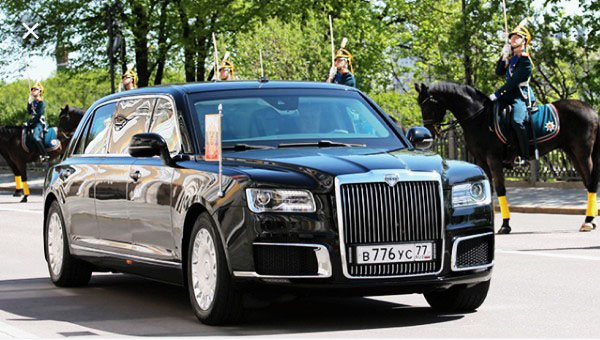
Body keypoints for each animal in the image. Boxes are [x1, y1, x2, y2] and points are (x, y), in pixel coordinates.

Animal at [414, 83, 600, 234]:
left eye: (428, 105)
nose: (429, 132)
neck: (479, 117)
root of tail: (591, 110)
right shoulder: (481, 161)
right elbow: (487, 189)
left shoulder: (493, 159)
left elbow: (500, 189)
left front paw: (505, 225)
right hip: (573, 154)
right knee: (588, 182)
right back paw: (590, 220)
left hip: (582, 153)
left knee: (591, 182)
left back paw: (588, 221)